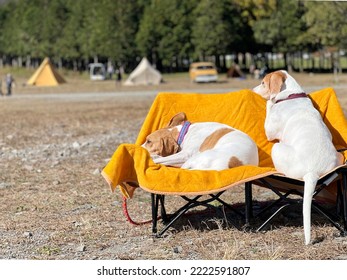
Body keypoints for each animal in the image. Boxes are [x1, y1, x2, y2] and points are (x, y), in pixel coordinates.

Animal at [253, 70, 346, 245]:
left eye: (263, 83)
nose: (253, 90)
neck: (291, 95)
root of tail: (312, 173)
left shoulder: (270, 131)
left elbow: (269, 108)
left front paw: (270, 102)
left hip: (277, 148)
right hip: (338, 156)